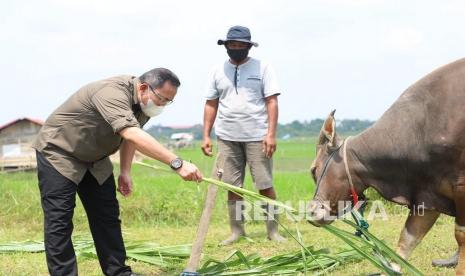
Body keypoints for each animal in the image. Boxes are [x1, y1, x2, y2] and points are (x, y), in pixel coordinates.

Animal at [306, 58, 464, 274]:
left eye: (314, 170)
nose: (312, 212)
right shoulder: (428, 194)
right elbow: (407, 239)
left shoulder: (460, 187)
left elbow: (460, 236)